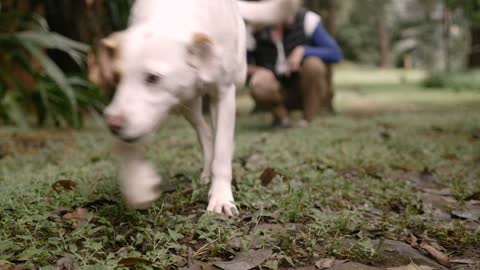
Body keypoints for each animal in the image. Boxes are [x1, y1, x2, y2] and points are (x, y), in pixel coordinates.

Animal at [99, 0, 298, 215]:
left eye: (152, 78)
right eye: (116, 77)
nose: (112, 124)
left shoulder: (224, 94)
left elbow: (222, 151)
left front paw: (221, 197)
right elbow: (129, 145)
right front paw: (138, 185)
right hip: (187, 104)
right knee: (205, 133)